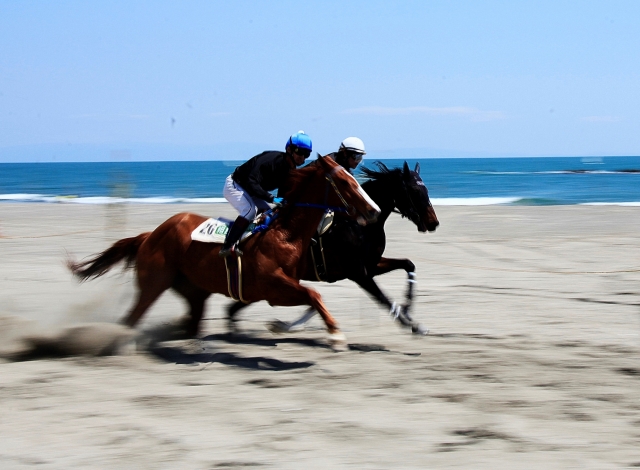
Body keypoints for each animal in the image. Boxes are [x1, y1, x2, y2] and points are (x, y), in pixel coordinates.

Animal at [67, 156, 380, 346]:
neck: (285, 234)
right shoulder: (273, 288)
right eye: (345, 182)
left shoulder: (284, 285)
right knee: (130, 319)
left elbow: (313, 297)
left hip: (193, 290)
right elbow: (314, 295)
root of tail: (150, 235)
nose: (373, 211)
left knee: (190, 320)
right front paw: (335, 335)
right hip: (153, 283)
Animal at [230, 162, 440, 334]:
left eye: (426, 189)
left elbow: (408, 264)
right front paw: (412, 325)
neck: (360, 226)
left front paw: (407, 308)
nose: (433, 222)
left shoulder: (371, 264)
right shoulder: (358, 273)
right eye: (414, 191)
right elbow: (383, 298)